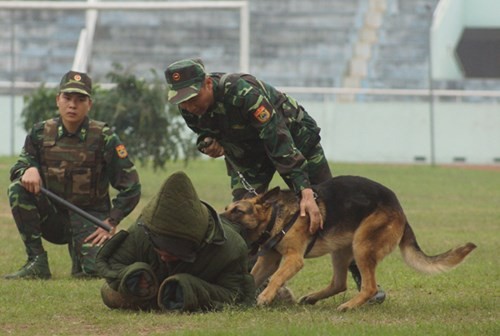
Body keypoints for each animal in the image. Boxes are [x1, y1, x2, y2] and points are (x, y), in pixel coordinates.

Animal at [222, 177, 476, 312]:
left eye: (238, 211)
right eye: (226, 209)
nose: (218, 218)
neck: (277, 215)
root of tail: (400, 211)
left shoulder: (294, 260)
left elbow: (275, 277)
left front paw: (265, 297)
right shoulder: (268, 260)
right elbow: (253, 276)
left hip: (362, 246)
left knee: (368, 286)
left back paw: (349, 306)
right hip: (341, 250)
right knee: (339, 283)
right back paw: (313, 298)